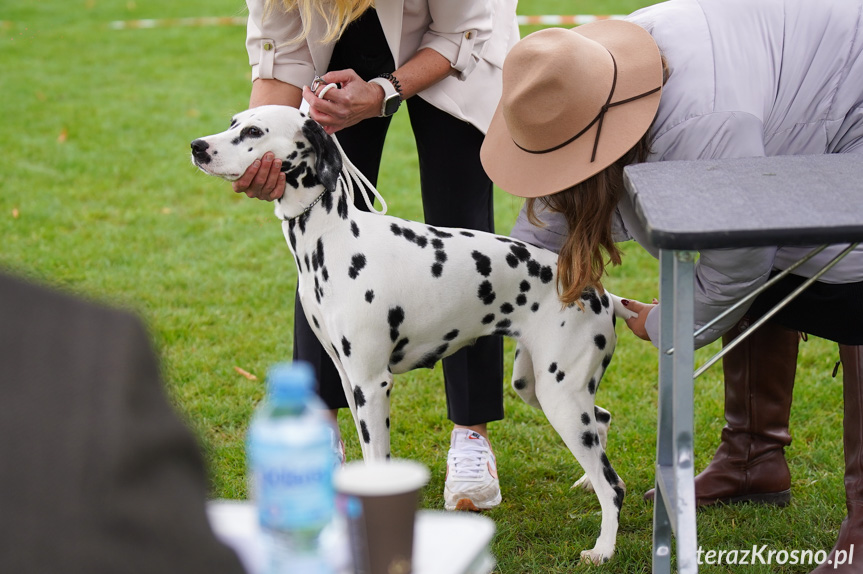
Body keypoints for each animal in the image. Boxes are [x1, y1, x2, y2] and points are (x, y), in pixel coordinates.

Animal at [191, 104, 636, 568]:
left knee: (613, 485)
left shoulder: (373, 386)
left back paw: (603, 548)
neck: (333, 239)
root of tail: (601, 294)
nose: (198, 147)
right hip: (536, 387)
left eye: (254, 132)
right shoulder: (351, 384)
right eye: (232, 122)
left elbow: (377, 463)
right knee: (602, 422)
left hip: (559, 397)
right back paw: (586, 482)